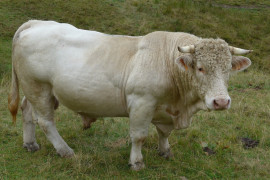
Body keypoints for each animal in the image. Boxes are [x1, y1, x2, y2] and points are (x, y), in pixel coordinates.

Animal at [9, 20, 252, 170]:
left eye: (228, 69)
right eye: (200, 68)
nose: (221, 101)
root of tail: (37, 23)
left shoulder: (164, 109)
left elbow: (164, 133)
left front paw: (165, 151)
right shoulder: (142, 103)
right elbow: (139, 136)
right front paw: (136, 162)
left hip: (36, 89)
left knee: (27, 110)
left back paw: (30, 144)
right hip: (38, 87)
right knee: (46, 121)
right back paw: (65, 150)